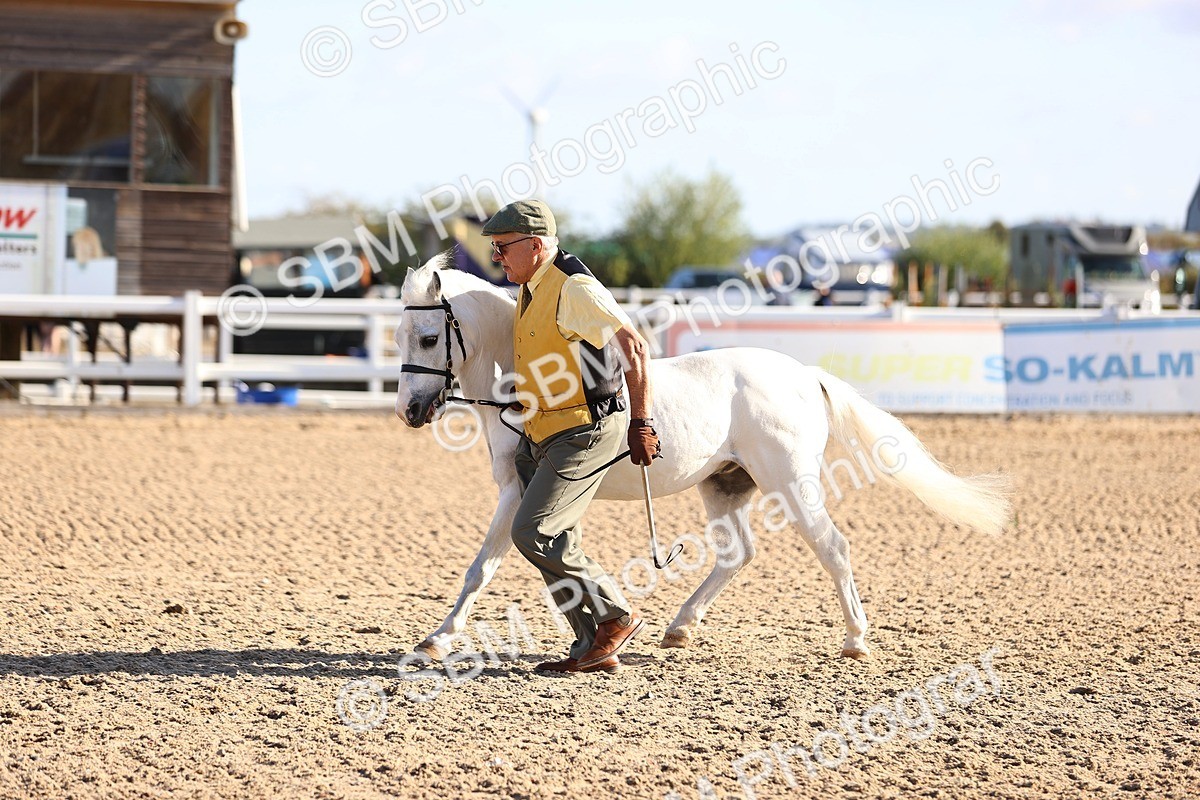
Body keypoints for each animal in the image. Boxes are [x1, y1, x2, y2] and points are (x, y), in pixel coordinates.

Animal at [395, 256, 1011, 660]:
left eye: (427, 338)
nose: (409, 410)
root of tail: (806, 376)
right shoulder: (529, 494)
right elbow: (519, 566)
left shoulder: (527, 493)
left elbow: (488, 566)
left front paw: (438, 640)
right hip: (724, 485)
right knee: (738, 555)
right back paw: (679, 627)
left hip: (790, 483)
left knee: (833, 548)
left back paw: (855, 640)